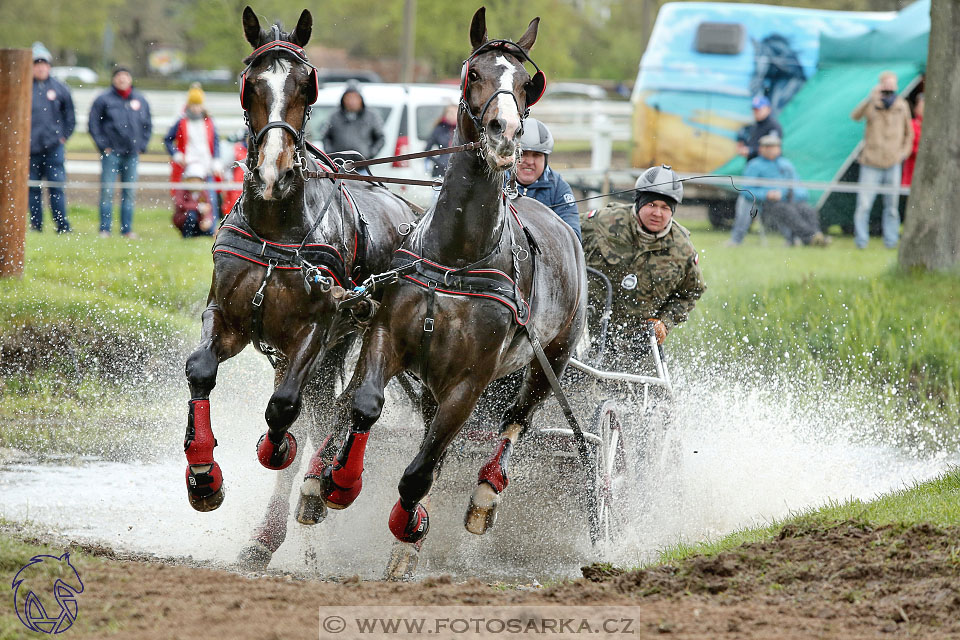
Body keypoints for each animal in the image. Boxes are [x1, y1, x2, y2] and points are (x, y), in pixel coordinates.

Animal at [184, 7, 416, 568]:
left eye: (307, 85)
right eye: (249, 84)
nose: (273, 172)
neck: (276, 226)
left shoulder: (316, 328)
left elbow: (283, 408)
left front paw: (277, 450)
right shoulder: (225, 317)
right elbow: (201, 369)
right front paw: (203, 475)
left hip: (363, 333)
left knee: (339, 405)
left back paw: (317, 485)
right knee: (323, 408)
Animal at [296, 6, 588, 576]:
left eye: (528, 82)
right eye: (474, 72)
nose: (505, 134)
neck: (457, 257)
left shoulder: (469, 382)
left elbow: (421, 468)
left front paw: (408, 529)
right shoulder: (386, 339)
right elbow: (364, 405)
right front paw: (337, 483)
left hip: (552, 360)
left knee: (514, 422)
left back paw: (484, 496)